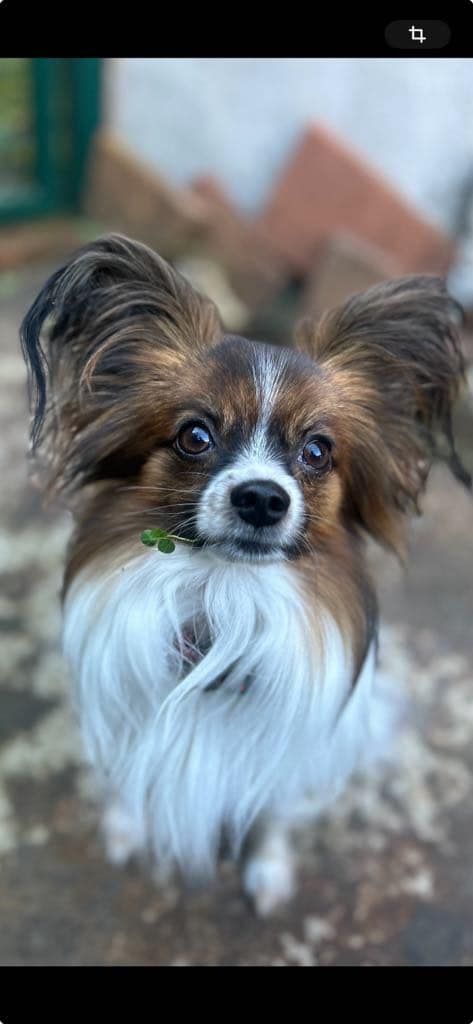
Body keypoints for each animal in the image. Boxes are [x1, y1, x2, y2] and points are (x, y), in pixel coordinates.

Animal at [20, 235, 470, 917]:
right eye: (195, 436)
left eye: (317, 451)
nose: (262, 498)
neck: (226, 597)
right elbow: (129, 778)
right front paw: (125, 827)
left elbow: (272, 813)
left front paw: (269, 871)